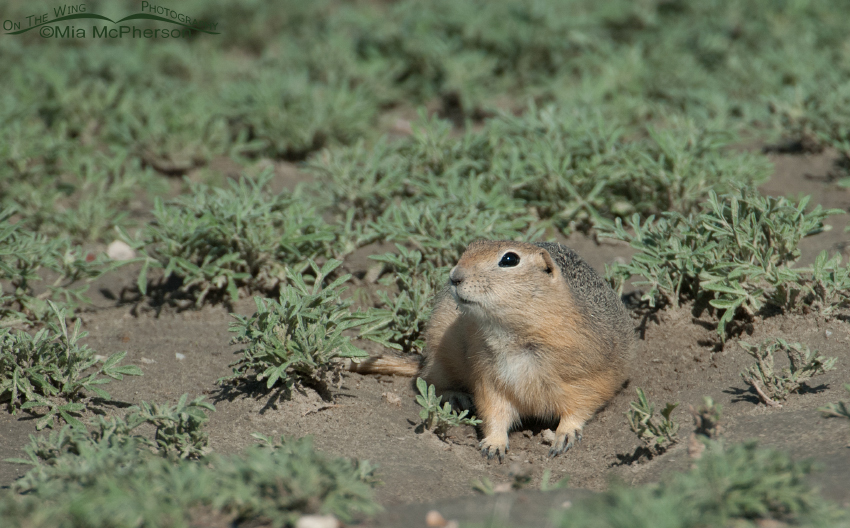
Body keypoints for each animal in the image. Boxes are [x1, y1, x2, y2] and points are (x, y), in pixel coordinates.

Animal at [348, 241, 632, 460]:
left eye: (509, 259)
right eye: (471, 246)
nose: (454, 276)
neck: (515, 334)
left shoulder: (588, 377)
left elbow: (580, 408)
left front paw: (564, 436)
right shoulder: (489, 377)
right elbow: (493, 411)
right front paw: (493, 445)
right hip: (441, 355)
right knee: (431, 380)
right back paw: (457, 397)